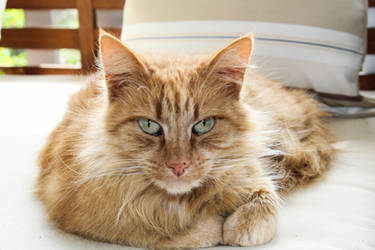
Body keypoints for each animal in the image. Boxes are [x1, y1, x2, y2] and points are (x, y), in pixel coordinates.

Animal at [37, 32, 334, 248]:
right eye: (149, 126)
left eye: (204, 125)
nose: (179, 166)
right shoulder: (80, 211)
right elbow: (164, 234)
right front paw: (213, 226)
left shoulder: (251, 168)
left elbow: (263, 205)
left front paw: (236, 227)